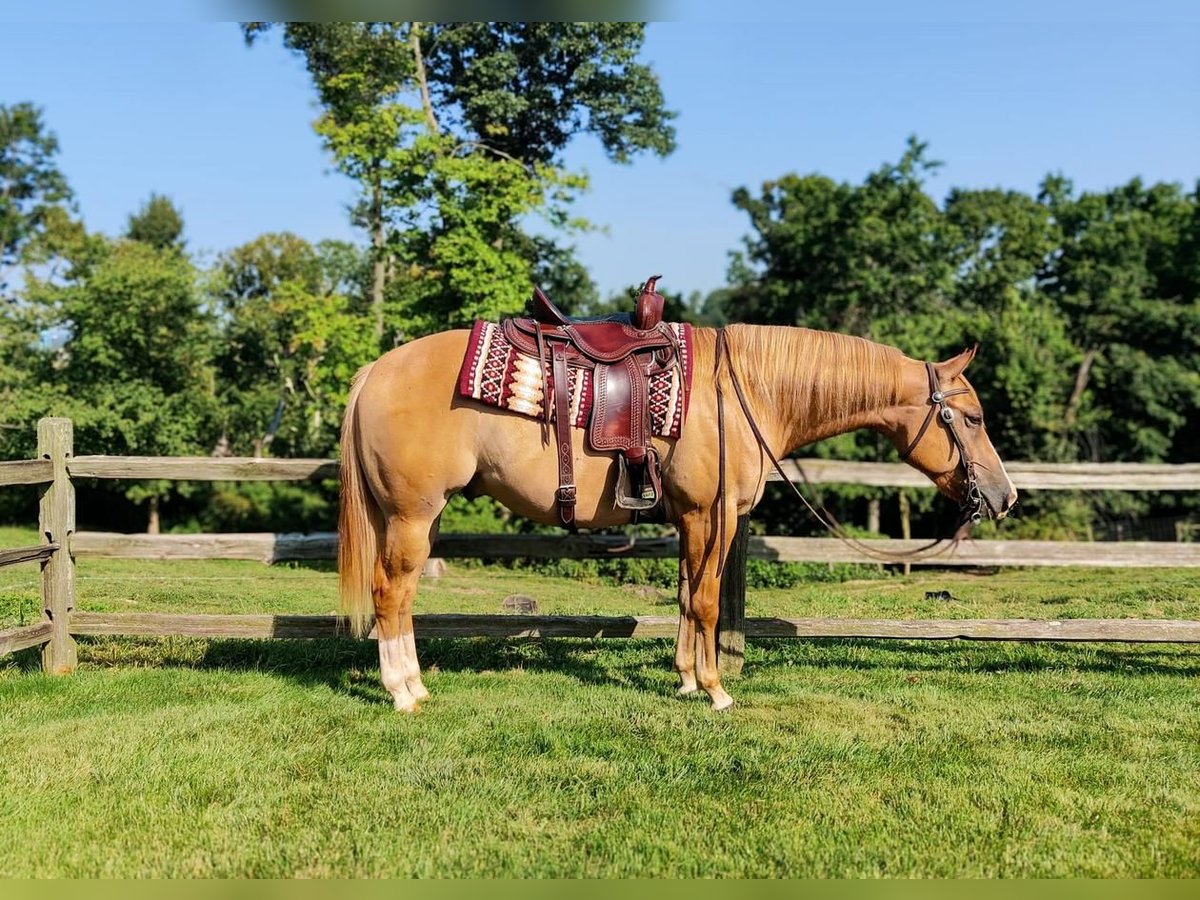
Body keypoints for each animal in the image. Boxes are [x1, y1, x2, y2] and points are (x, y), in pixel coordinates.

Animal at [336, 324, 1012, 710]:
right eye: (973, 418)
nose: (1004, 497)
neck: (745, 391)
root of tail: (374, 372)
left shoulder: (691, 518)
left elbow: (688, 596)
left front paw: (685, 680)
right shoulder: (712, 514)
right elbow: (709, 602)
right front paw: (715, 691)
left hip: (417, 518)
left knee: (401, 596)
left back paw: (414, 685)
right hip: (411, 515)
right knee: (390, 593)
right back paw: (404, 694)